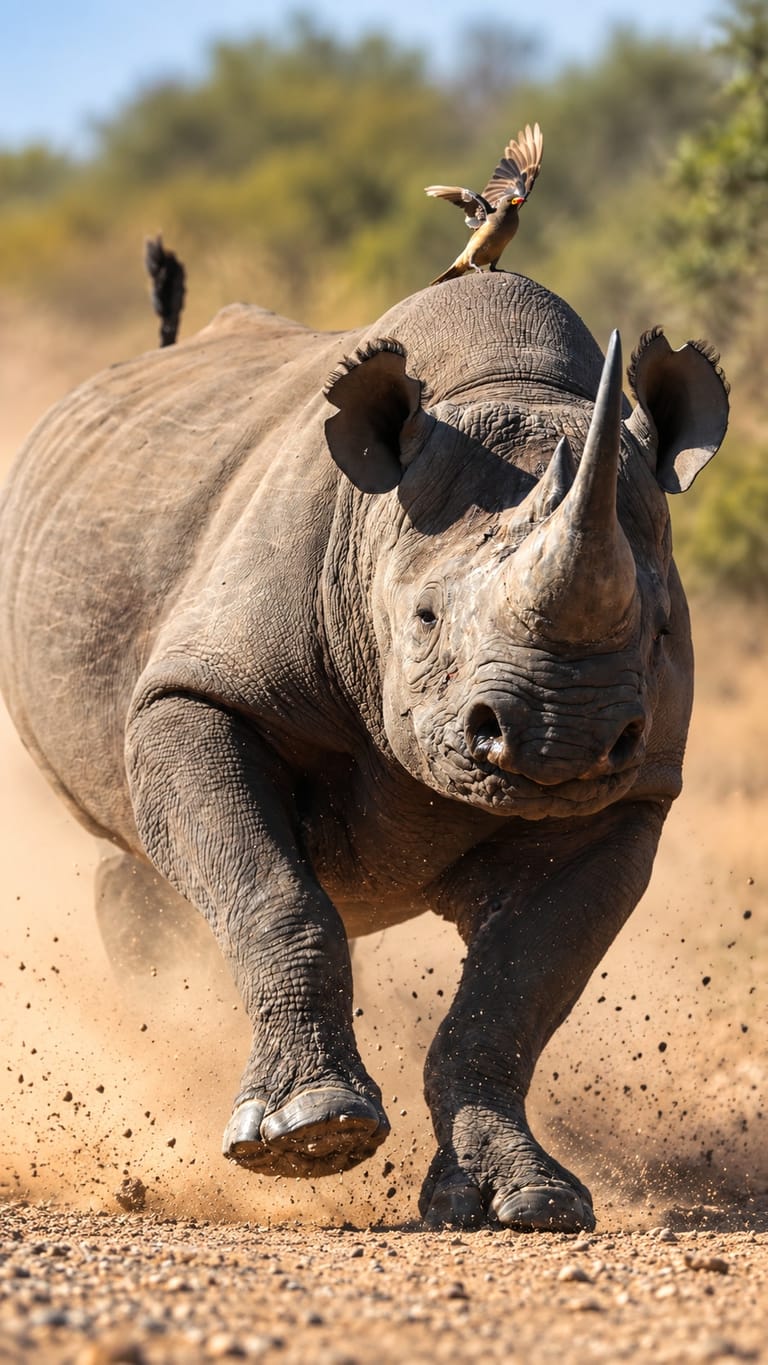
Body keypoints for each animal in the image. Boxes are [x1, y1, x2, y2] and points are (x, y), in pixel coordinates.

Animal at [0, 272, 729, 1231]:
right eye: (423, 619)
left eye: (662, 631)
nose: (556, 736)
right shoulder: (200, 690)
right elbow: (275, 894)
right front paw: (310, 1134)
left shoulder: (630, 794)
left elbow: (514, 994)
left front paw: (528, 1197)